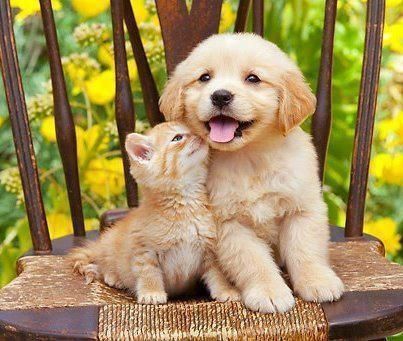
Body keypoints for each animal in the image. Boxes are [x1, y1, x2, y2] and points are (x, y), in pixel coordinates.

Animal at [69, 120, 240, 302]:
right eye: (177, 138)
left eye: (194, 129)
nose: (200, 135)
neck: (184, 205)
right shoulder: (144, 249)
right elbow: (148, 272)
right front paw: (151, 293)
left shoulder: (210, 250)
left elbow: (217, 274)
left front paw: (225, 290)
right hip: (108, 243)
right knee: (104, 264)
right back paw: (113, 277)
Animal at [159, 33, 346, 312]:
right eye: (205, 77)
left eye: (253, 79)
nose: (220, 96)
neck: (251, 157)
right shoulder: (229, 223)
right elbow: (253, 262)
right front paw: (270, 292)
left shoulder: (302, 208)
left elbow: (306, 250)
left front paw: (317, 281)